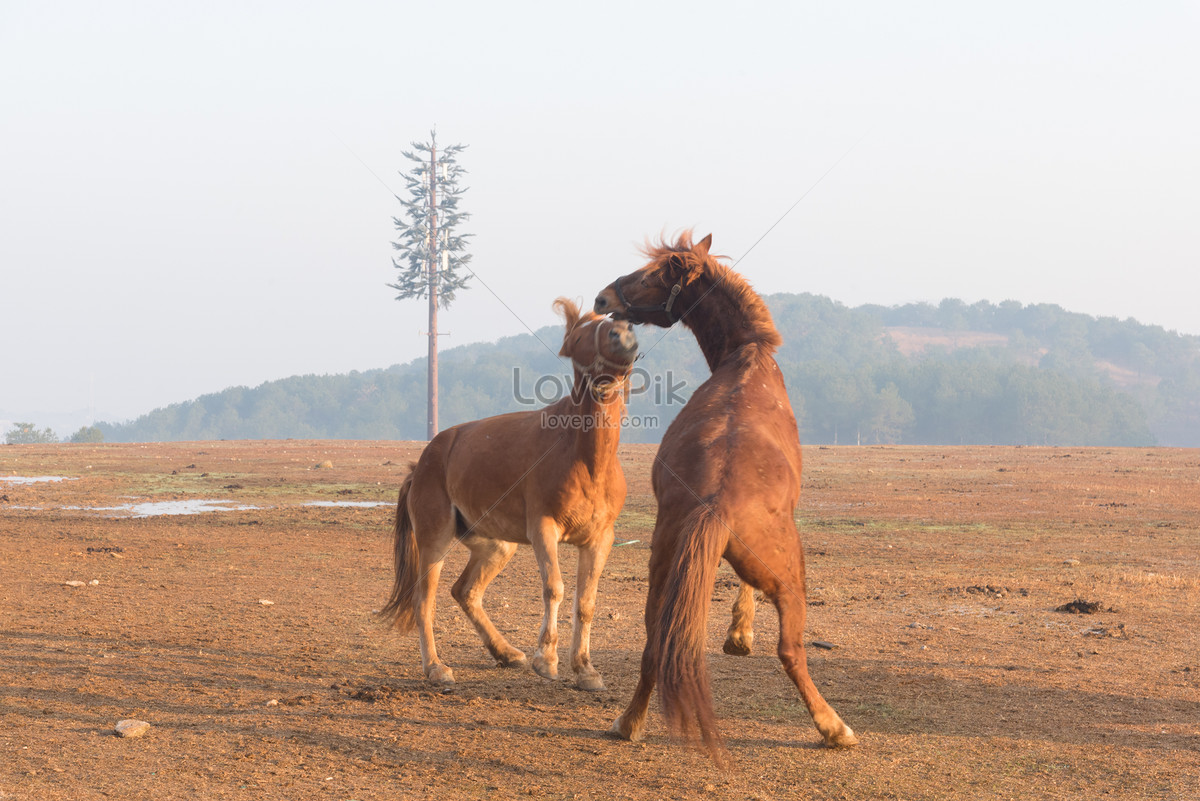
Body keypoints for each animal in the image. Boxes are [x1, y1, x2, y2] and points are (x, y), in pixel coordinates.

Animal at [381, 297, 638, 690]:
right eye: (580, 335)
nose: (623, 334)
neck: (585, 457)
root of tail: (421, 464)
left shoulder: (600, 539)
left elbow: (586, 602)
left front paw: (585, 669)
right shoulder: (544, 529)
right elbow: (554, 588)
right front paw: (546, 659)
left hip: (496, 546)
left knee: (466, 591)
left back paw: (505, 652)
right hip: (435, 539)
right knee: (424, 600)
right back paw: (436, 668)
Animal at [590, 231, 854, 757]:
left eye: (649, 276)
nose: (603, 300)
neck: (746, 356)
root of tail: (715, 503)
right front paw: (739, 633)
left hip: (663, 570)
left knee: (655, 644)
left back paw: (629, 721)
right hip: (790, 579)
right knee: (790, 651)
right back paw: (833, 727)